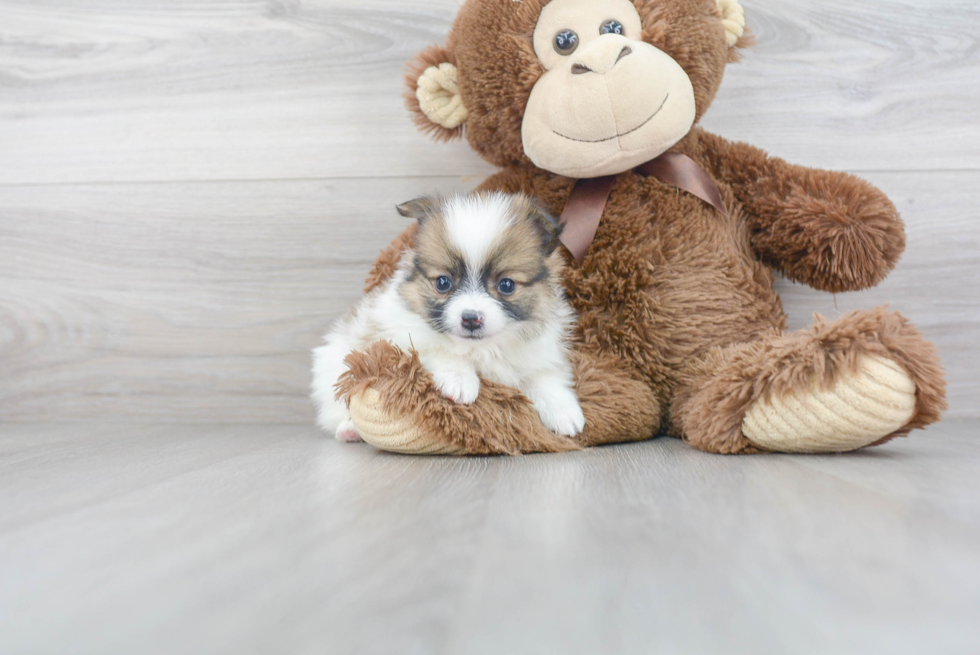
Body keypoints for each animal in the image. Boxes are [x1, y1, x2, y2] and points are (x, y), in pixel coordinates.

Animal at [314, 192, 584, 444]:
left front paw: (564, 411)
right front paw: (460, 380)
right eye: (443, 282)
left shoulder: (540, 351)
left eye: (506, 285)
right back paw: (349, 429)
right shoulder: (398, 335)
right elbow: (440, 349)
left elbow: (544, 377)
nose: (471, 319)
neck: (483, 348)